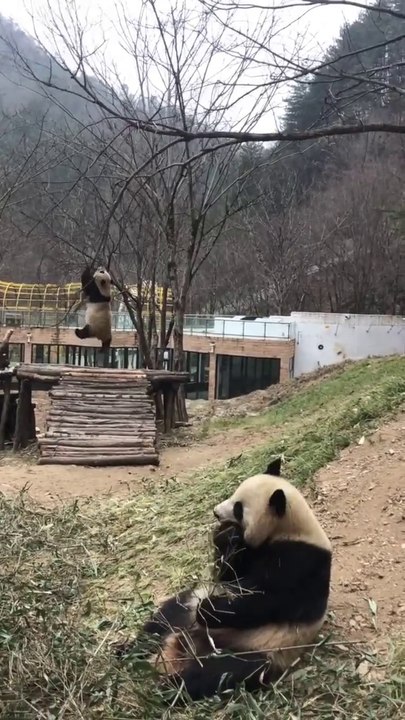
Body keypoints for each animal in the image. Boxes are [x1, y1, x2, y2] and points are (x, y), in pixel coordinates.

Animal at [117, 457, 332, 703]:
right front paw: (224, 537)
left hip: (259, 649)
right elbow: (228, 575)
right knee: (166, 618)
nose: (216, 513)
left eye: (238, 509)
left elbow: (266, 602)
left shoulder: (300, 563)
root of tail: (184, 649)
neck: (290, 529)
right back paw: (128, 651)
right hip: (189, 609)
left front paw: (210, 609)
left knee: (219, 673)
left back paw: (166, 689)